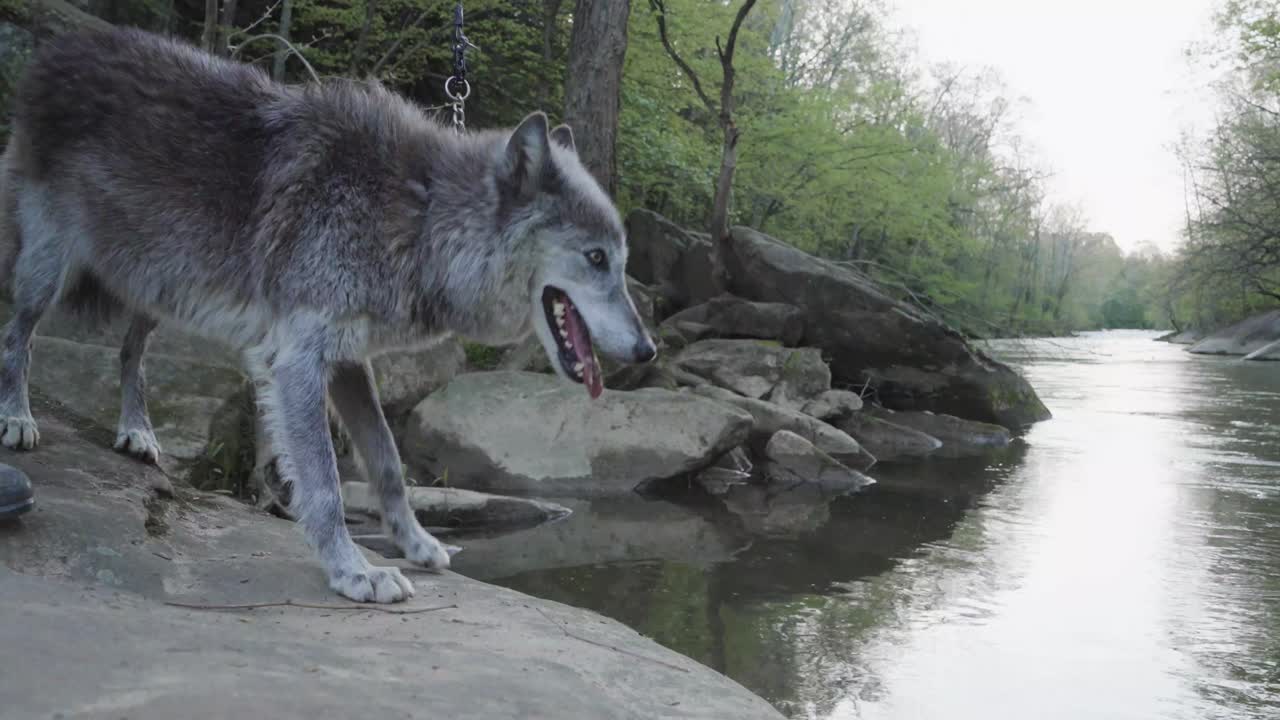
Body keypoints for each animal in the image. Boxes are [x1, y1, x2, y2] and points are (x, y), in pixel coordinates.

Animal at [0, 27, 656, 603]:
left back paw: (136, 430)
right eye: (597, 258)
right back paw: (17, 419)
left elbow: (387, 461)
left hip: (159, 285)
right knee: (19, 335)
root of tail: (62, 45)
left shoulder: (346, 360)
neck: (419, 218)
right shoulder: (298, 361)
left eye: (622, 261)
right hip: (50, 270)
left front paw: (416, 544)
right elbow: (325, 483)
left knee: (130, 351)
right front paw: (354, 571)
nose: (648, 350)